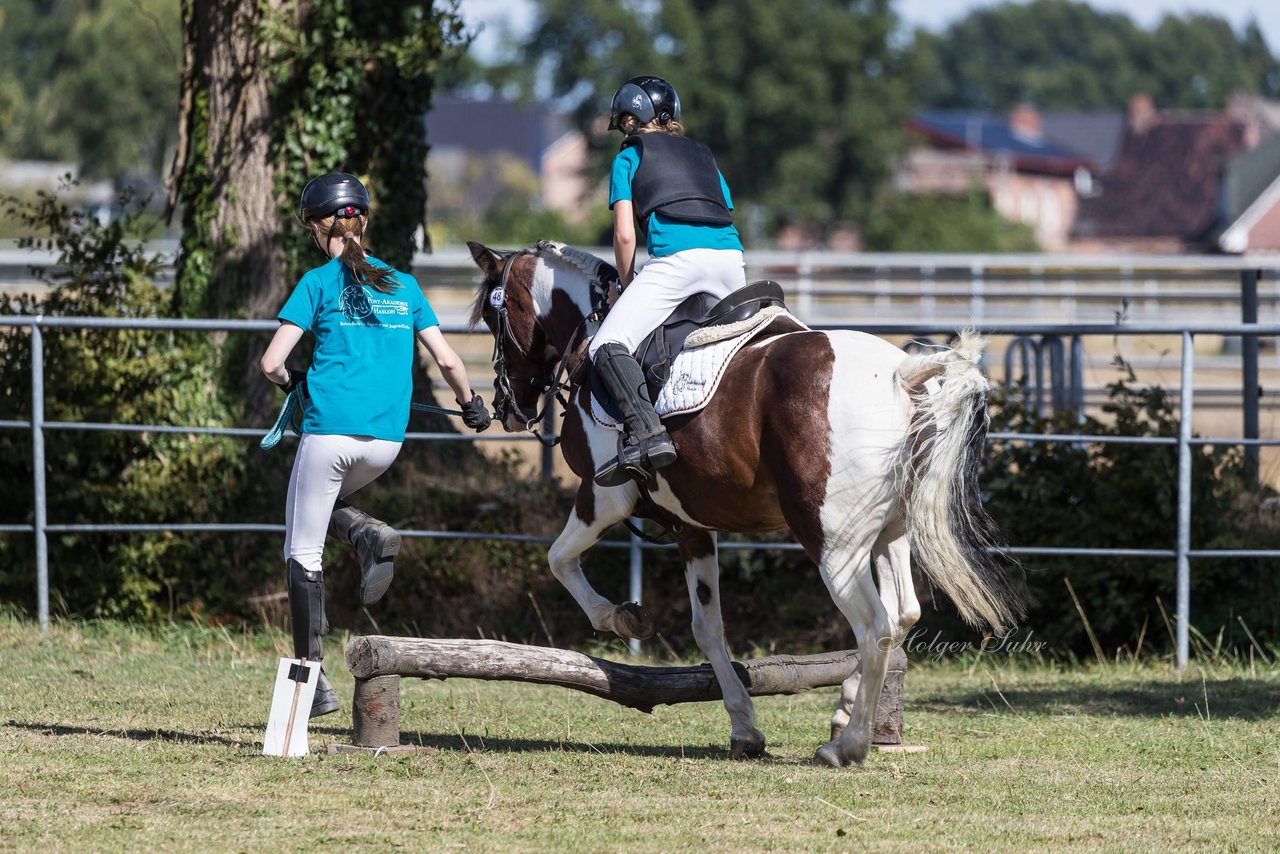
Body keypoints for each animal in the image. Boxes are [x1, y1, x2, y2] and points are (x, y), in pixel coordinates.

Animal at [465, 240, 1024, 768]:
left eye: (494, 318)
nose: (506, 406)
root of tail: (901, 373)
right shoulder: (688, 524)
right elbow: (708, 628)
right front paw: (744, 729)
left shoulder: (603, 497)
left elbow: (559, 560)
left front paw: (622, 618)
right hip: (890, 529)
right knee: (903, 612)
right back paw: (844, 711)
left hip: (833, 542)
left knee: (874, 625)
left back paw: (847, 746)